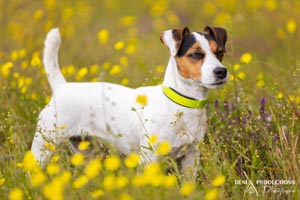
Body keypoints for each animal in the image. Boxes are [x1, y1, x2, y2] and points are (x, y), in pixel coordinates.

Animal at [31, 25, 227, 180]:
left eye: (220, 53)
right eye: (195, 54)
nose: (221, 71)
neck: (181, 104)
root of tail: (61, 87)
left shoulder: (190, 156)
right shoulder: (149, 158)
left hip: (86, 150)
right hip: (43, 147)